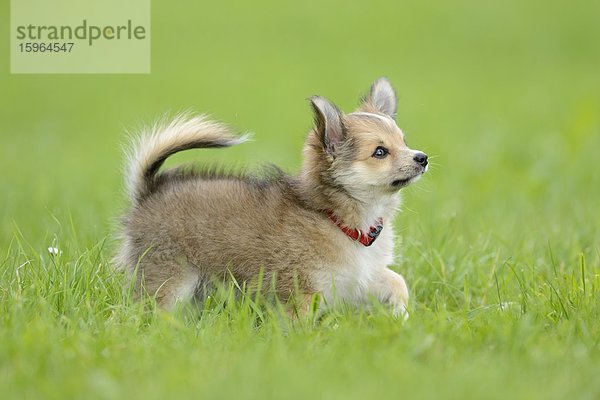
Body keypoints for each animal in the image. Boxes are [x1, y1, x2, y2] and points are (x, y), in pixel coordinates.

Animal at [115, 77, 426, 316]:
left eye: (404, 142)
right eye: (380, 152)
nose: (422, 157)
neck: (340, 220)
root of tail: (149, 190)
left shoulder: (360, 278)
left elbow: (397, 281)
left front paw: (401, 315)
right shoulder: (302, 291)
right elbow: (301, 323)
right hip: (168, 279)